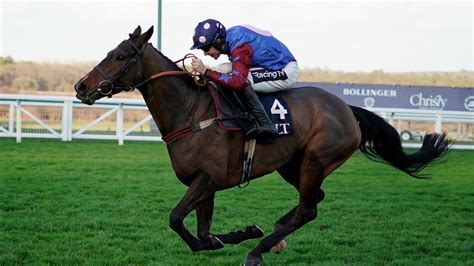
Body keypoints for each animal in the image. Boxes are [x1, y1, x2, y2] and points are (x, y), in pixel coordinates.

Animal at [74, 25, 452, 266]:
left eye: (121, 55)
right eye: (110, 52)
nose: (81, 87)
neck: (191, 112)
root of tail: (346, 108)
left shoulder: (207, 179)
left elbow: (176, 220)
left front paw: (242, 237)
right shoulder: (205, 184)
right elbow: (202, 234)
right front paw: (242, 231)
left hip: (316, 159)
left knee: (308, 208)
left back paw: (260, 249)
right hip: (292, 164)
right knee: (313, 200)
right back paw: (275, 234)